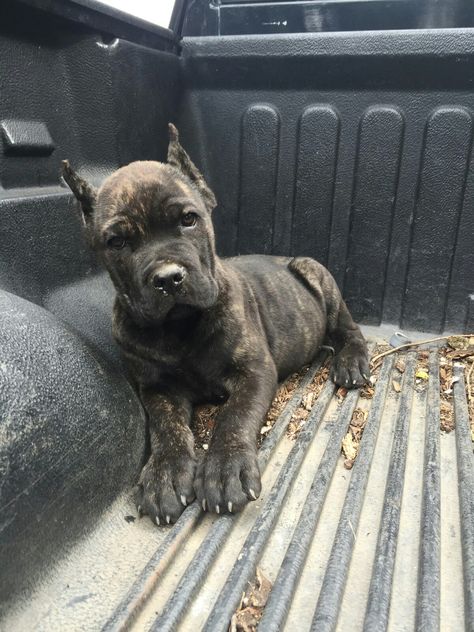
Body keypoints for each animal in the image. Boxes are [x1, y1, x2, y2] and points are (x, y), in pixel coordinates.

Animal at [61, 122, 368, 524]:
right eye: (116, 241)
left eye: (188, 219)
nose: (167, 278)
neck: (179, 328)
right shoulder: (157, 388)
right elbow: (165, 427)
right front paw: (165, 473)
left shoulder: (254, 371)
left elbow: (234, 416)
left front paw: (225, 469)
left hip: (317, 275)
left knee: (349, 329)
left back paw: (351, 362)